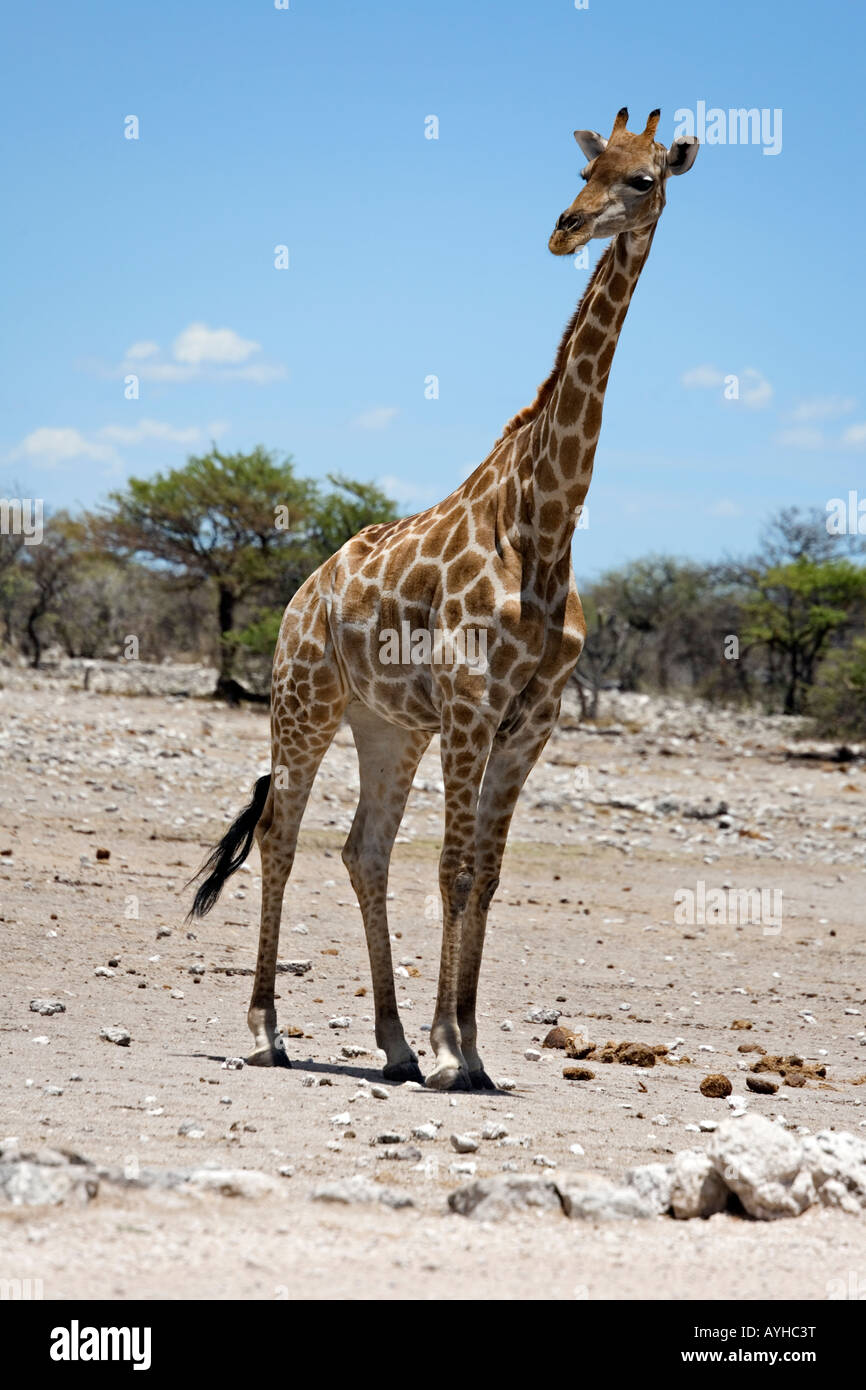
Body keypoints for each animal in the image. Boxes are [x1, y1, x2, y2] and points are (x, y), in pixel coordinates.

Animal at [190, 109, 699, 1090]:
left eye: (644, 179)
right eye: (585, 170)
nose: (565, 229)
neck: (543, 527)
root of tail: (301, 595)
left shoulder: (530, 720)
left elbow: (488, 874)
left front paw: (468, 1048)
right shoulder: (472, 704)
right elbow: (456, 869)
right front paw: (448, 1049)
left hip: (388, 727)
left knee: (364, 849)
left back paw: (387, 1044)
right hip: (303, 702)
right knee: (280, 836)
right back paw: (269, 1032)